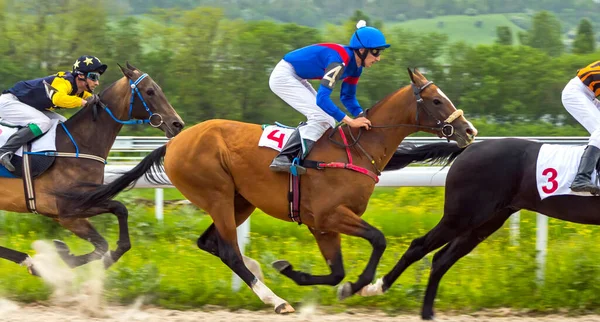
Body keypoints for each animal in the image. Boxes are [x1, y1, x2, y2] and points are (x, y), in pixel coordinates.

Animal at [0, 63, 183, 274]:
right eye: (150, 91)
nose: (178, 124)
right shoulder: (67, 212)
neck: (78, 145)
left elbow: (120, 211)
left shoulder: (78, 205)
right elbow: (102, 244)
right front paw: (64, 257)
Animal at [58, 68, 476, 312]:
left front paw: (295, 270)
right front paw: (358, 285)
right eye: (436, 100)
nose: (469, 130)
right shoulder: (329, 215)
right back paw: (274, 299)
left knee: (211, 243)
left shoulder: (322, 225)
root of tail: (176, 140)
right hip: (216, 194)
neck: (356, 149)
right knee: (227, 248)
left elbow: (336, 271)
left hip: (240, 199)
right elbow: (377, 239)